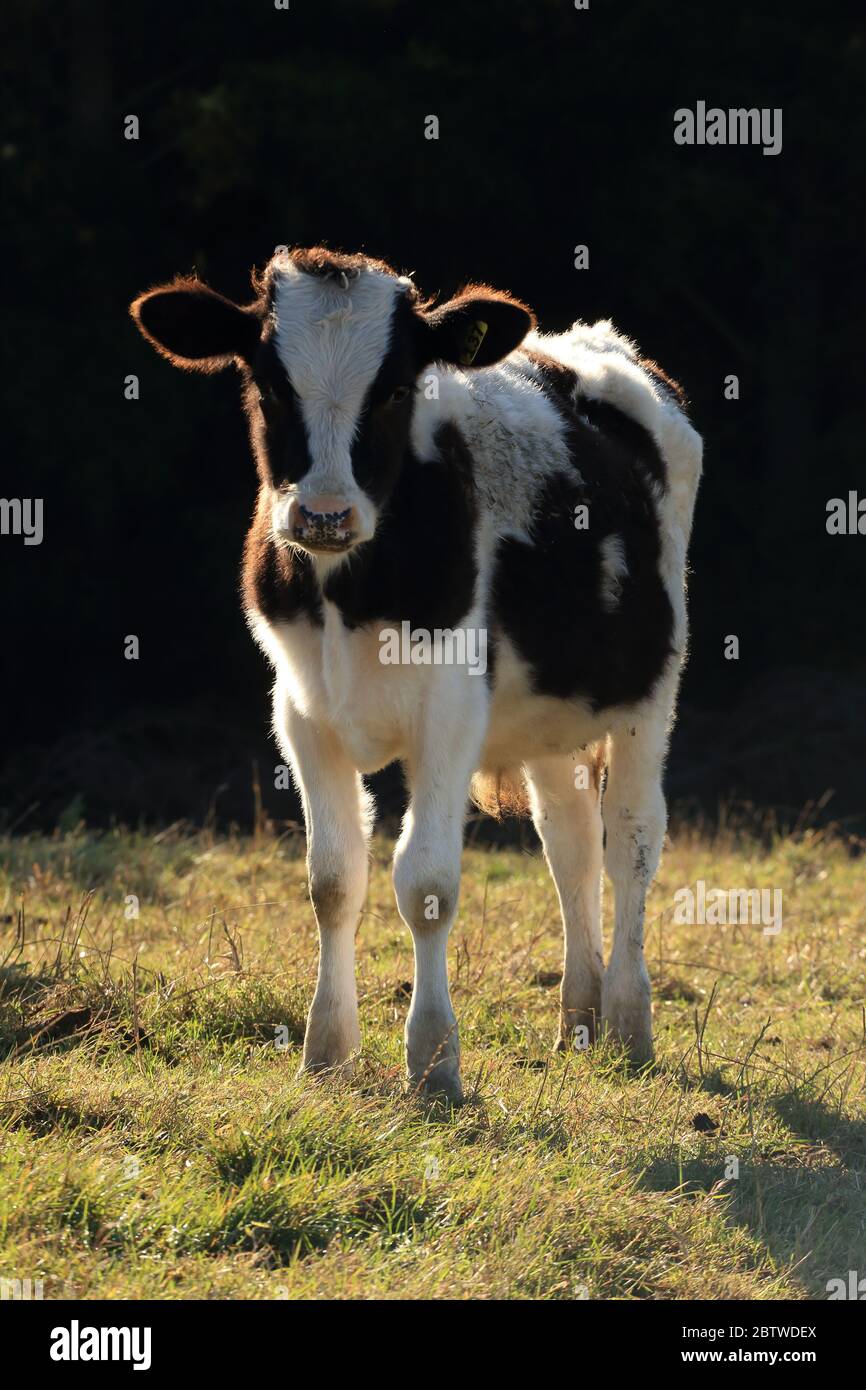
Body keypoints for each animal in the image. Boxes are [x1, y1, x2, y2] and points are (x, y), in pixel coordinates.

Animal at [130, 247, 706, 1095]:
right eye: (269, 384)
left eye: (397, 387)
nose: (325, 515)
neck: (350, 593)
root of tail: (597, 345)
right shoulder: (299, 711)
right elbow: (333, 880)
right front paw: (327, 1051)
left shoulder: (449, 714)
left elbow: (427, 884)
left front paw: (434, 1062)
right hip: (551, 720)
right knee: (569, 845)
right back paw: (579, 1020)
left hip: (646, 692)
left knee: (632, 838)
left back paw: (630, 1024)